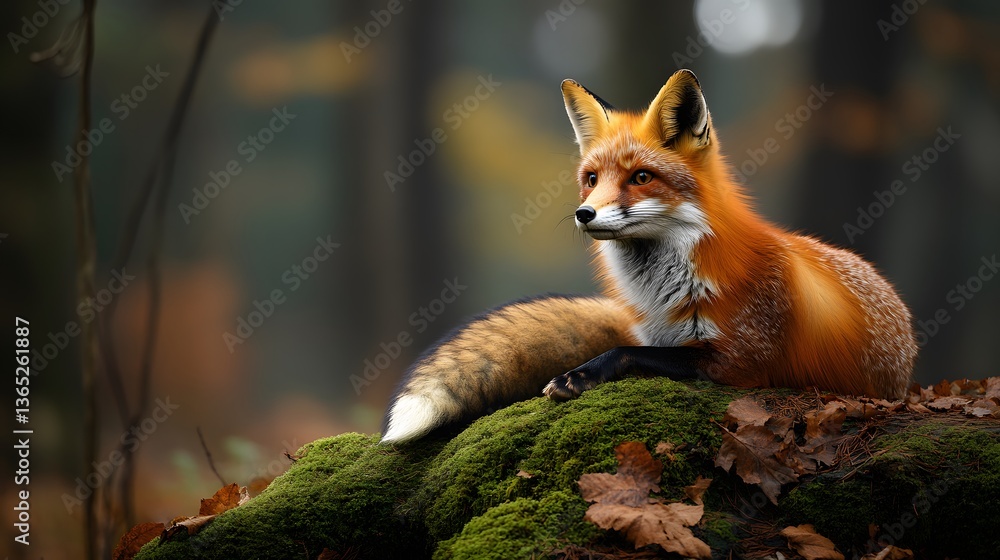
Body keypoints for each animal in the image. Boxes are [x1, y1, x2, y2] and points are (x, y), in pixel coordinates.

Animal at [380, 69, 917, 444]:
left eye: (641, 177)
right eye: (592, 178)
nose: (585, 214)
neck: (666, 290)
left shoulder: (742, 363)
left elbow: (626, 351)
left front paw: (581, 375)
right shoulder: (663, 336)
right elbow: (634, 346)